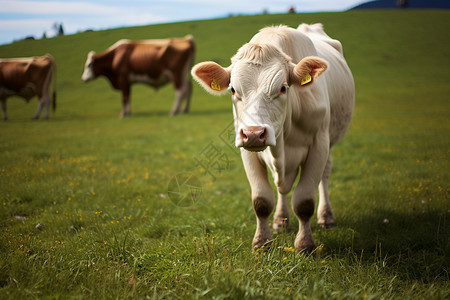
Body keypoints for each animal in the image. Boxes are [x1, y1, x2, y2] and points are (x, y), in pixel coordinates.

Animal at [192, 24, 354, 253]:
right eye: (233, 90)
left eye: (283, 88)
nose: (253, 133)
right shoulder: (247, 151)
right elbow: (261, 201)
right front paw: (261, 242)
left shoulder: (319, 144)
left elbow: (304, 202)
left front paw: (305, 245)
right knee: (282, 188)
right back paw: (281, 220)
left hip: (330, 142)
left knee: (325, 175)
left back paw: (326, 217)